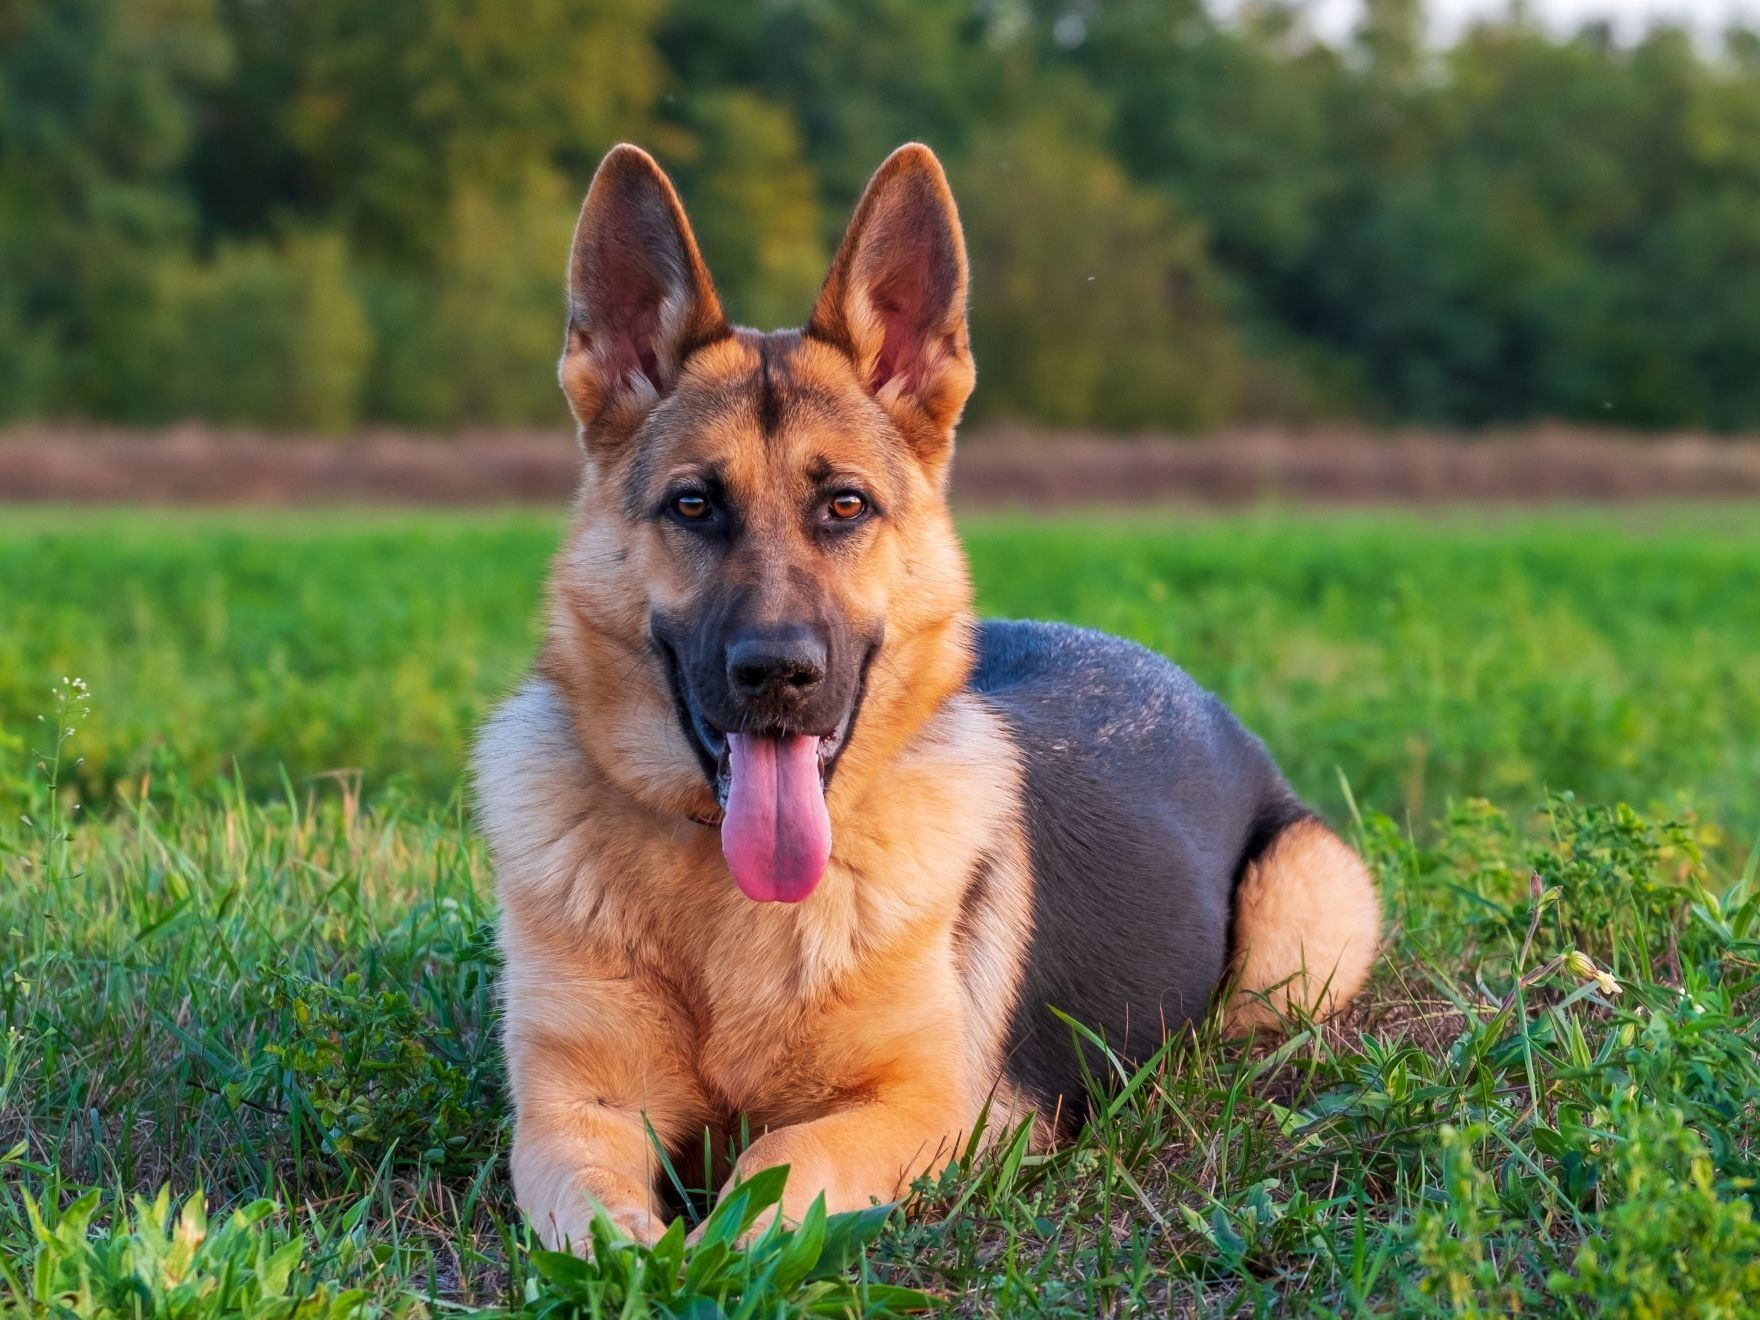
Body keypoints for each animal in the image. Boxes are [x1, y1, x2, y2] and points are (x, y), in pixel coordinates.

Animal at [475, 144, 1379, 1253]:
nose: (777, 674)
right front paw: (651, 1261)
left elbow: (780, 1163)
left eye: (844, 506)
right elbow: (600, 1223)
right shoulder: (571, 1110)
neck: (721, 902)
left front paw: (714, 1252)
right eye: (692, 505)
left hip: (1294, 936)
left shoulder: (929, 1109)